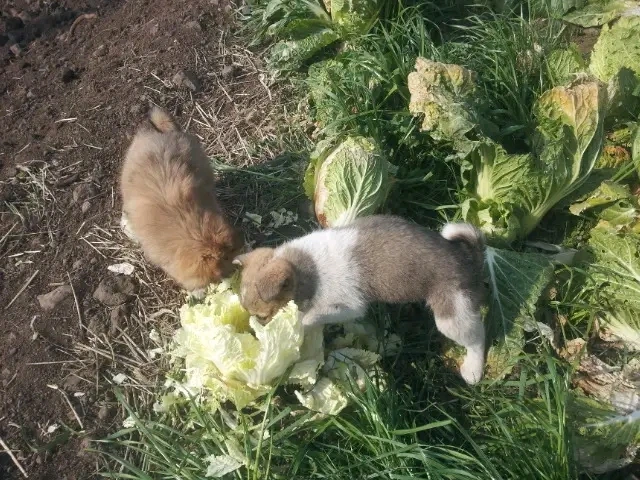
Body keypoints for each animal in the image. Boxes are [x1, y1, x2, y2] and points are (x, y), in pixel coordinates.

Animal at [233, 215, 486, 384]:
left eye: (263, 316)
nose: (255, 333)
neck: (307, 270)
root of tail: (468, 257)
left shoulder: (350, 307)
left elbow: (309, 318)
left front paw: (297, 327)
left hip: (452, 315)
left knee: (477, 339)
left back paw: (473, 371)